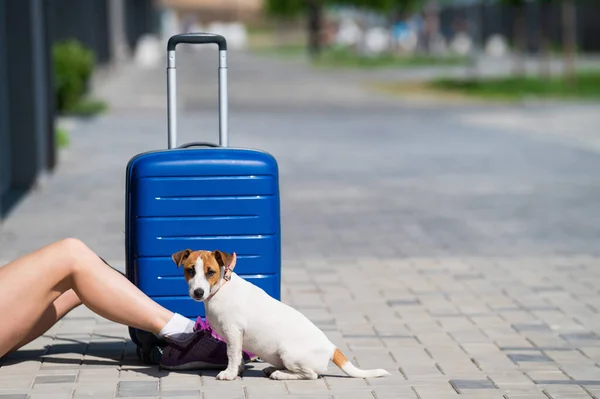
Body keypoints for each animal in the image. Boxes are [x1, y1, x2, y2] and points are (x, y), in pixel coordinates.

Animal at [171, 248, 392, 382]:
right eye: (190, 270)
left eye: (210, 272)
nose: (198, 292)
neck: (221, 289)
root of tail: (331, 347)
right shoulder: (233, 337)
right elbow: (238, 355)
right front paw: (239, 370)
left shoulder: (233, 331)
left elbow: (232, 355)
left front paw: (229, 373)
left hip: (289, 352)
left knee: (310, 375)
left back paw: (280, 374)